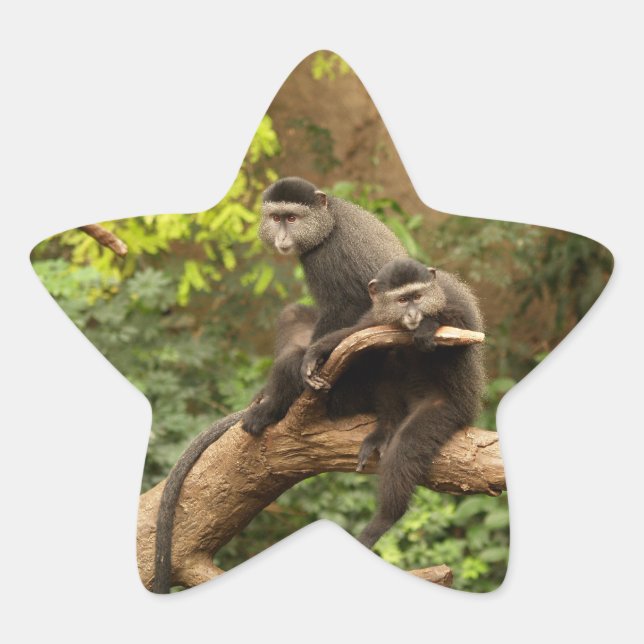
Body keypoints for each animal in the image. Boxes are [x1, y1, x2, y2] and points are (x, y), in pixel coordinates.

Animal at [242, 177, 407, 436]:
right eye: (276, 218)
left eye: (292, 218)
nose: (282, 238)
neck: (329, 221)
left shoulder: (326, 257)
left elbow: (348, 306)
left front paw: (310, 361)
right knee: (292, 314)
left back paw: (271, 408)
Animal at [300, 257, 485, 549]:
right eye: (402, 300)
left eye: (417, 297)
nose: (413, 315)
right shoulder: (377, 315)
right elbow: (358, 331)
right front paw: (316, 352)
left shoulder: (452, 301)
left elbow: (463, 329)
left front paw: (427, 326)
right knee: (385, 357)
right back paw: (385, 429)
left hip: (448, 409)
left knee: (405, 448)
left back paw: (385, 518)